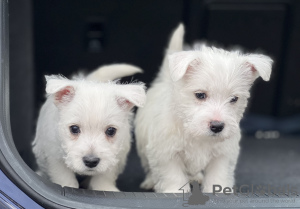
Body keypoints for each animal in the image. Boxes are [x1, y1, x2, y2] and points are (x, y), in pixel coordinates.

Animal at [32, 63, 146, 191]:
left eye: (111, 131)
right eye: (74, 129)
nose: (91, 161)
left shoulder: (115, 155)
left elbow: (104, 176)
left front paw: (105, 188)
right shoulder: (54, 155)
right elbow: (64, 176)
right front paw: (68, 186)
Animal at [135, 24, 274, 193]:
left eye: (234, 99)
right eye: (200, 95)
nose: (217, 126)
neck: (195, 133)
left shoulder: (223, 154)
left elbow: (218, 174)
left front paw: (219, 190)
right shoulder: (165, 153)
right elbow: (173, 176)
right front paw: (174, 191)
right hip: (143, 147)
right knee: (149, 167)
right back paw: (149, 182)